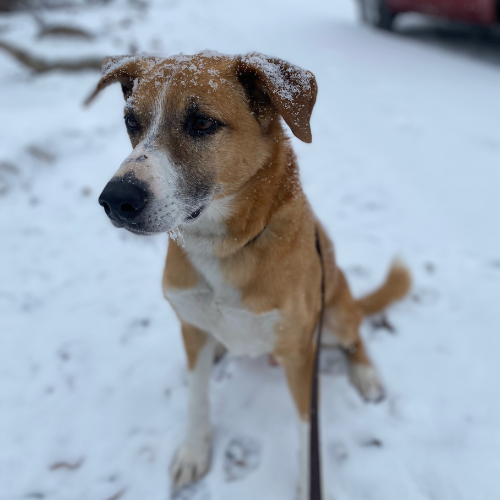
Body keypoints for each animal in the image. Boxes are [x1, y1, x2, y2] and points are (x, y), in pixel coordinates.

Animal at [88, 51, 412, 500]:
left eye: (202, 122)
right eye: (131, 121)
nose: (116, 200)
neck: (222, 247)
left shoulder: (300, 353)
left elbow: (306, 428)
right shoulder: (190, 327)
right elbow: (197, 398)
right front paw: (193, 452)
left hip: (333, 316)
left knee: (356, 332)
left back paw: (365, 374)